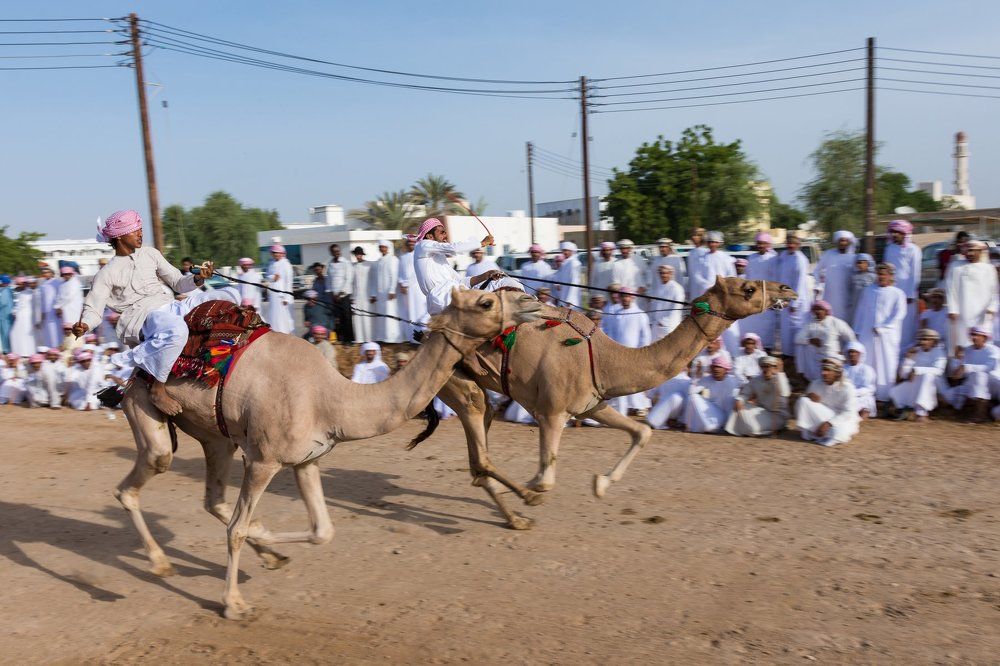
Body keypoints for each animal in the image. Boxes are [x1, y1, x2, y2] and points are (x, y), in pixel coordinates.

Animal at [114, 288, 542, 619]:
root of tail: (130, 375)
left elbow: (323, 531)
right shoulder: (263, 460)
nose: (533, 301)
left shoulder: (307, 460)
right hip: (146, 414)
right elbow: (236, 530)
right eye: (486, 301)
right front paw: (234, 604)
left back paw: (268, 552)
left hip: (216, 437)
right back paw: (161, 562)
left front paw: (266, 541)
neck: (331, 398)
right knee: (137, 482)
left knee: (212, 498)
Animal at [431, 276, 796, 529]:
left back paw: (514, 517)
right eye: (748, 288)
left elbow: (642, 432)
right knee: (479, 442)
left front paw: (601, 483)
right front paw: (528, 490)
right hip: (456, 383)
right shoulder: (551, 412)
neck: (604, 358)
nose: (787, 289)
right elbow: (545, 478)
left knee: (480, 453)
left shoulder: (594, 403)